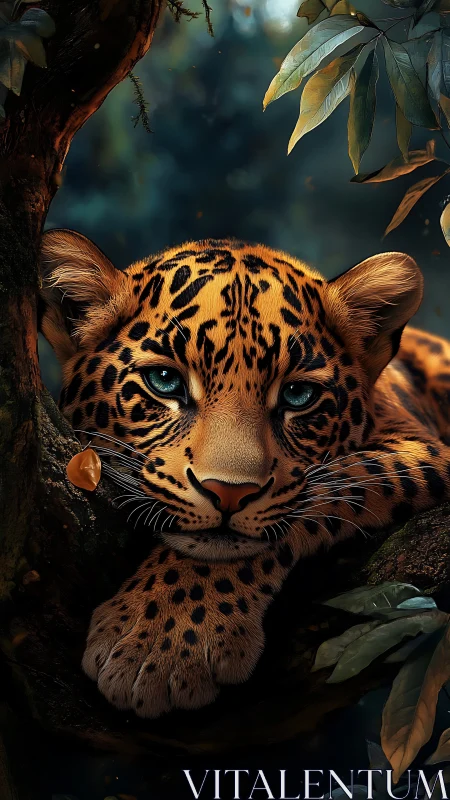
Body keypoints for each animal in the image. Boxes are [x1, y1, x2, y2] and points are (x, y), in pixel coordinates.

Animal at [39, 228, 450, 719]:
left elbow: (322, 490)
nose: (228, 494)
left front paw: (160, 642)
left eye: (297, 394)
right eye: (164, 382)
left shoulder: (422, 447)